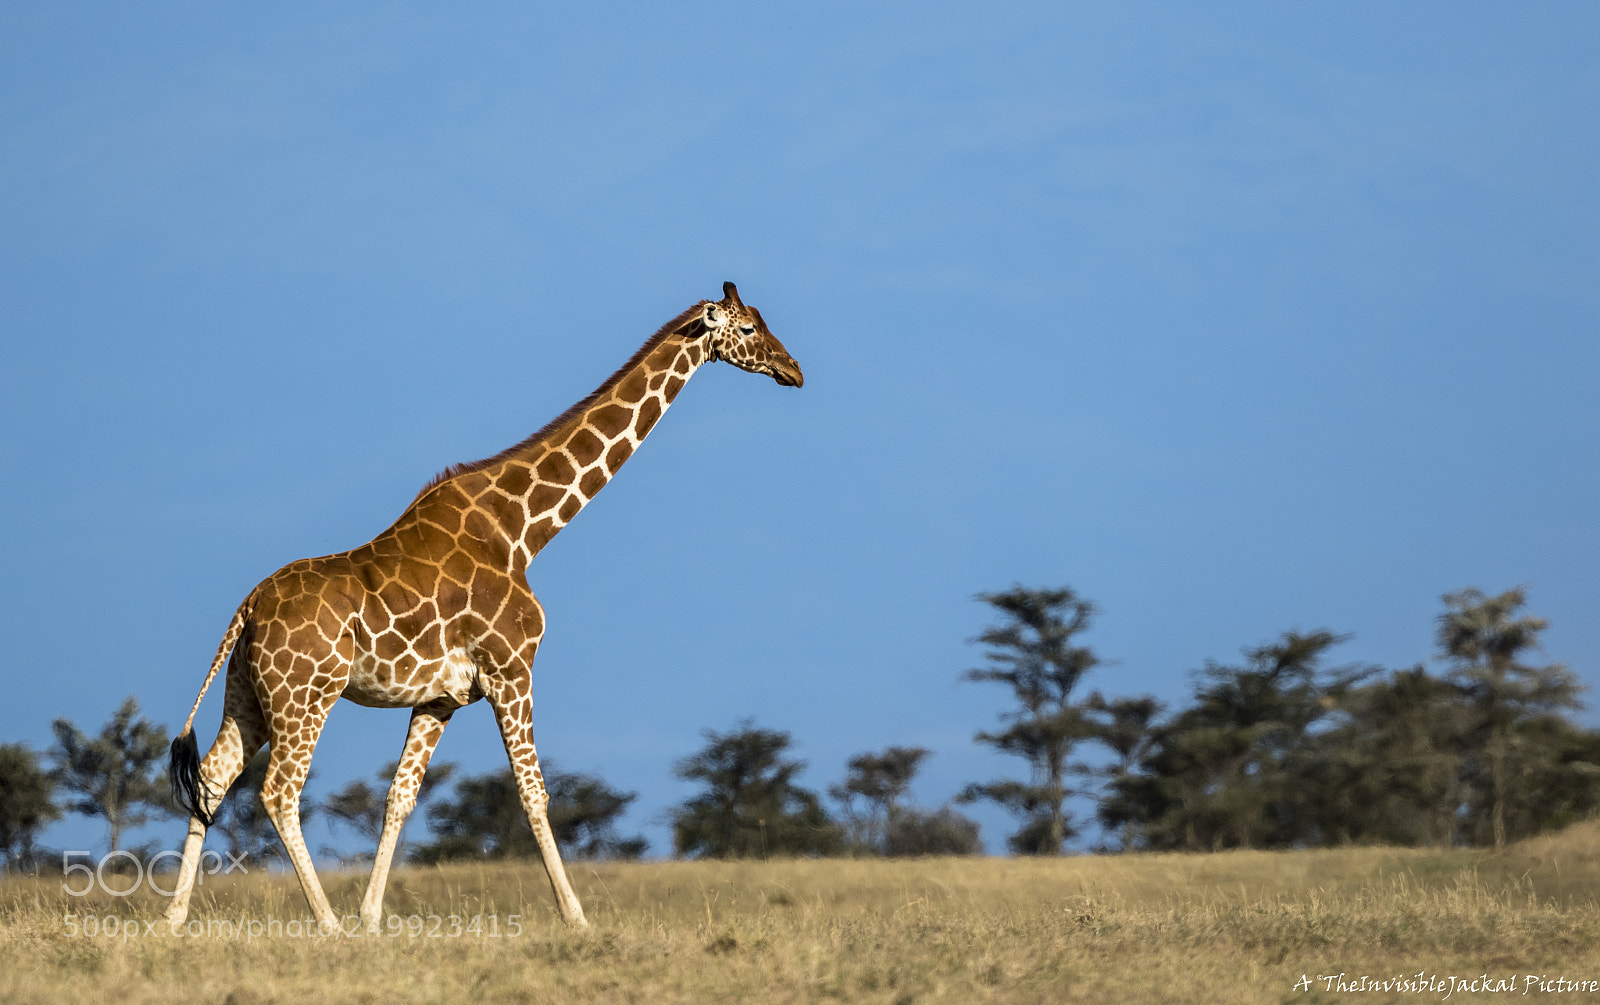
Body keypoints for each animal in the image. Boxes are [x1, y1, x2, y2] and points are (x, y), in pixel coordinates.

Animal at [163, 282, 802, 933]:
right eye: (748, 329)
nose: (793, 370)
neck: (522, 529)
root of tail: (247, 609)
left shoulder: (440, 697)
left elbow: (400, 796)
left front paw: (372, 917)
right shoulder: (511, 668)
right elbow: (533, 791)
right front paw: (576, 917)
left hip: (247, 693)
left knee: (212, 778)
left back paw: (175, 920)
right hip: (306, 695)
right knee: (279, 792)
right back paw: (326, 924)